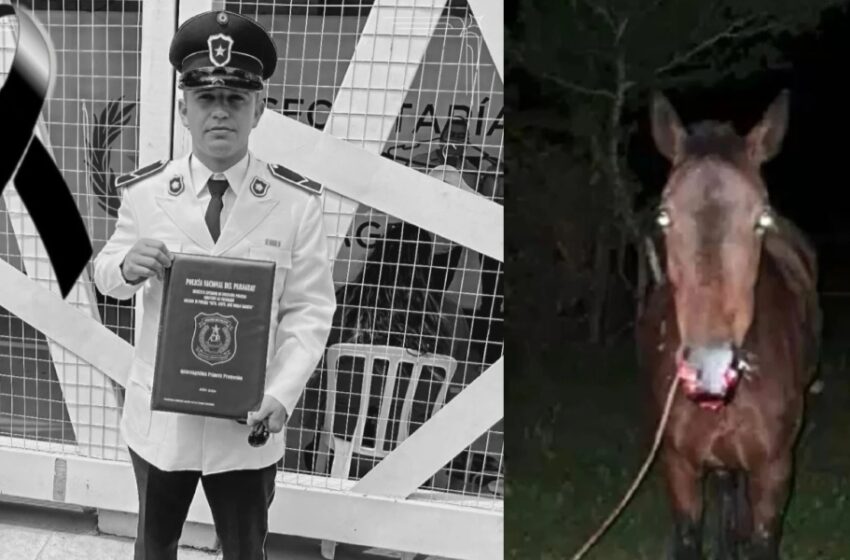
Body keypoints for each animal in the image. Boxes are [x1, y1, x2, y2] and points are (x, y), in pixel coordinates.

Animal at [636, 90, 822, 560]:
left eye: (762, 217)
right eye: (664, 216)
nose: (710, 367)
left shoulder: (774, 472)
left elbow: (761, 538)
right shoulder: (680, 467)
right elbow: (690, 535)